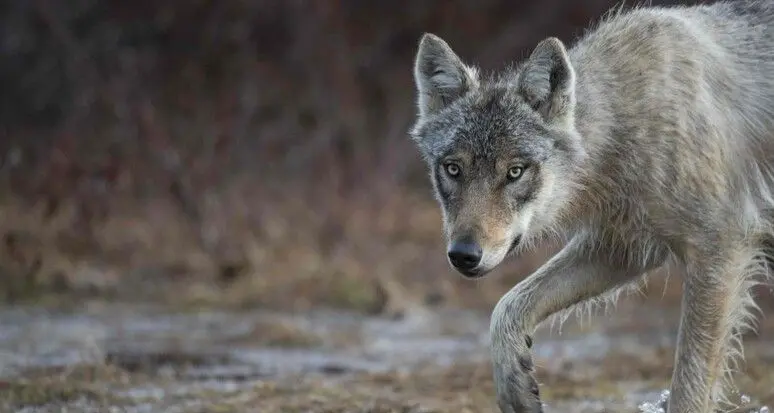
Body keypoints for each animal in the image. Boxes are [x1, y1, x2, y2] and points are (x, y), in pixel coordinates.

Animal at [408, 1, 774, 412]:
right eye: (452, 169)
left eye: (515, 172)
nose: (463, 254)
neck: (627, 122)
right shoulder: (623, 247)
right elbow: (506, 308)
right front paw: (516, 388)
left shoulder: (720, 250)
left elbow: (688, 387)